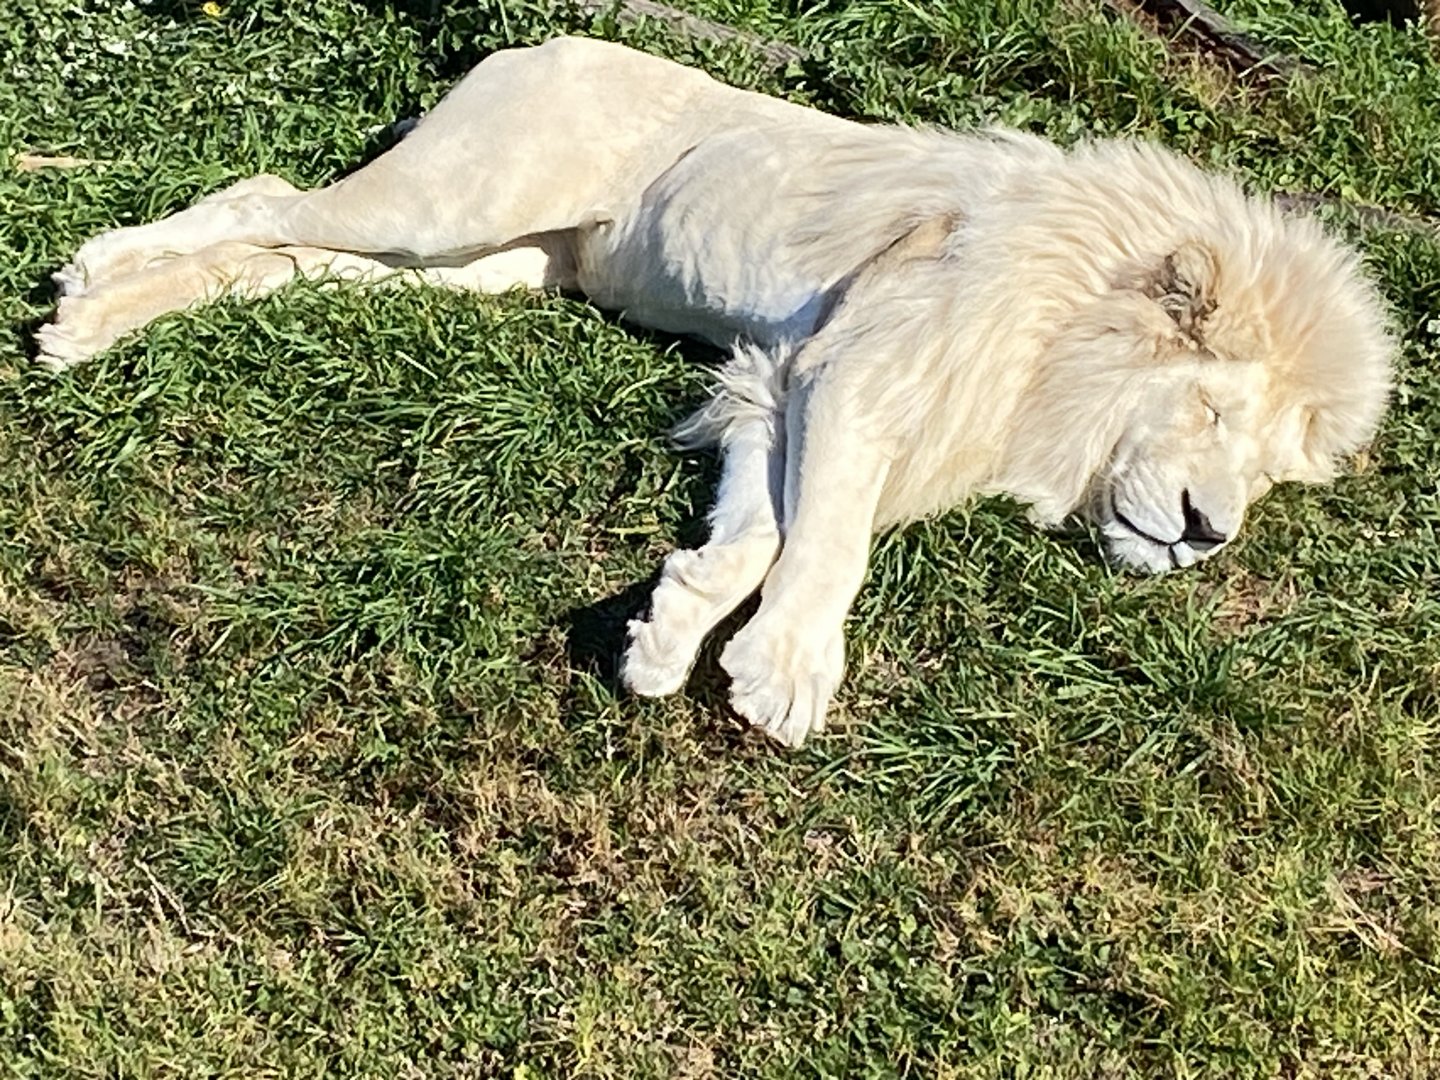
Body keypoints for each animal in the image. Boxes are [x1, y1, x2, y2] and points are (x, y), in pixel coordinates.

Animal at [37, 37, 1393, 747]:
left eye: (1264, 475)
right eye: (1211, 413)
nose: (1210, 536)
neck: (1060, 336)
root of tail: (534, 42)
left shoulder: (775, 383)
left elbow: (760, 532)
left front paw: (671, 633)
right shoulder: (860, 372)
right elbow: (832, 540)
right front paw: (787, 673)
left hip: (493, 265)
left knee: (274, 258)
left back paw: (106, 311)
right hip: (452, 204)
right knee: (261, 197)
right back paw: (85, 293)